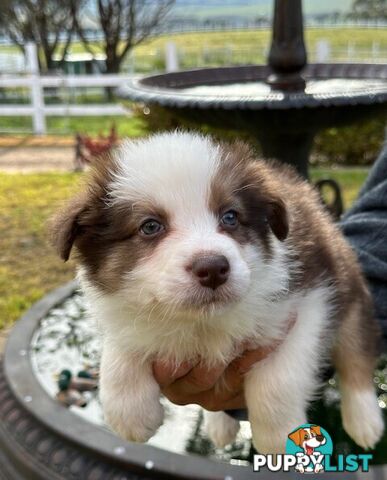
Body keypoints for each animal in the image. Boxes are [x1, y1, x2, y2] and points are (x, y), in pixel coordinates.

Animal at [51, 131, 384, 454]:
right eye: (150, 226)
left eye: (230, 216)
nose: (213, 268)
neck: (203, 322)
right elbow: (121, 346)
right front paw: (129, 411)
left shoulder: (311, 298)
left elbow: (278, 380)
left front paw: (280, 436)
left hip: (350, 289)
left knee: (355, 356)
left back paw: (364, 421)